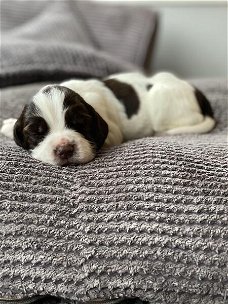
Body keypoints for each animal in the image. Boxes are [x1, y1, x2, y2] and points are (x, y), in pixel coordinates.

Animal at [0, 72, 216, 165]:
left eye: (80, 123)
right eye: (36, 132)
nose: (64, 149)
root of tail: (198, 94)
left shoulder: (113, 131)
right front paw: (9, 125)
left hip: (161, 100)